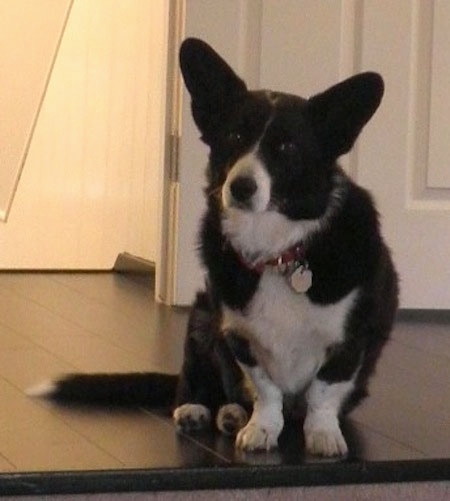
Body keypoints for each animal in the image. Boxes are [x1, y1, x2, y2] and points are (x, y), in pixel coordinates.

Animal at [30, 37, 398, 456]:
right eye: (235, 138)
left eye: (287, 148)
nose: (241, 187)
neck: (276, 251)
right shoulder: (238, 336)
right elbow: (266, 391)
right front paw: (261, 429)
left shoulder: (350, 341)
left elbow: (323, 392)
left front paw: (322, 435)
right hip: (201, 317)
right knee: (199, 383)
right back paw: (205, 410)